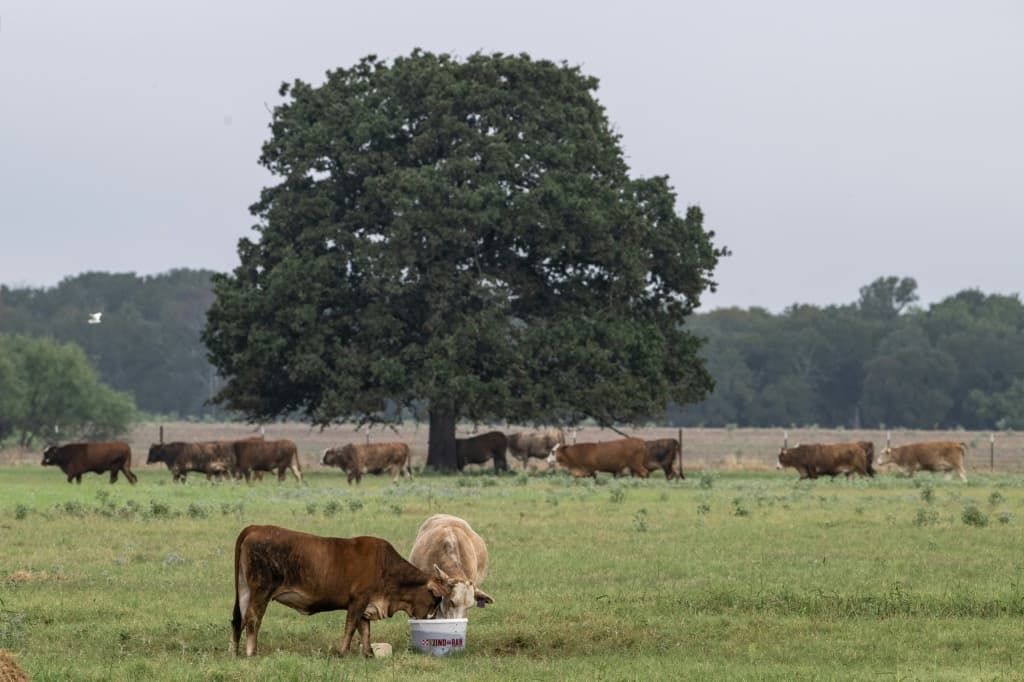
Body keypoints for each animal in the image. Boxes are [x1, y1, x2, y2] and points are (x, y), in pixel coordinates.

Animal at [230, 525, 452, 657]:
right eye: (435, 599)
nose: (431, 618)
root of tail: (256, 528)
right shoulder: (358, 601)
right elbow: (351, 627)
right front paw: (342, 652)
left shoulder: (365, 605)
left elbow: (365, 630)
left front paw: (368, 654)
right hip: (261, 591)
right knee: (252, 618)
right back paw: (252, 652)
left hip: (244, 591)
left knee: (238, 619)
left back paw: (235, 651)